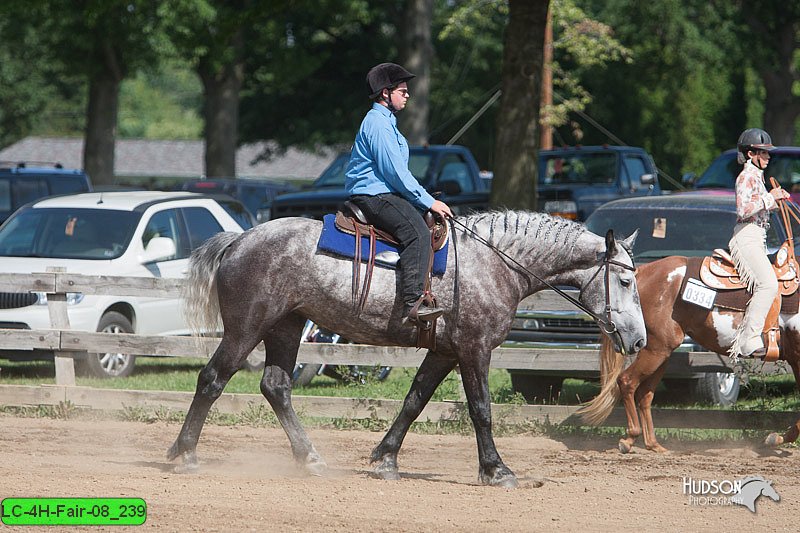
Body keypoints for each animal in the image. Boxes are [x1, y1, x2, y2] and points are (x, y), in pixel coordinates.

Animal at [169, 209, 648, 486]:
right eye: (625, 280)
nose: (640, 340)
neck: (493, 263)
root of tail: (239, 239)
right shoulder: (474, 349)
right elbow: (481, 409)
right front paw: (497, 470)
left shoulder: (444, 351)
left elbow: (414, 400)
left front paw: (385, 459)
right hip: (246, 328)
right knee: (212, 379)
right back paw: (184, 454)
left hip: (286, 327)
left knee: (276, 386)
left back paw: (310, 458)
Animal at [580, 256, 796, 450]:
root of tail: (641, 272)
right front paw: (777, 439)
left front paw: (778, 438)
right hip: (656, 349)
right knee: (627, 381)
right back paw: (631, 438)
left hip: (661, 353)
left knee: (644, 394)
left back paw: (654, 444)